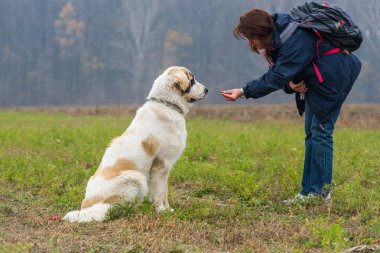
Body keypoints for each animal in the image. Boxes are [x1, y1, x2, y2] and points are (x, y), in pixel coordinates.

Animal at [63, 66, 209, 221]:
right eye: (192, 80)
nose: (207, 90)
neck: (168, 105)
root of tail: (86, 206)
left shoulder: (164, 169)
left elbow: (164, 192)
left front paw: (168, 209)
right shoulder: (161, 166)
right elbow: (160, 193)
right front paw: (162, 211)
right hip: (135, 177)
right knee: (115, 208)